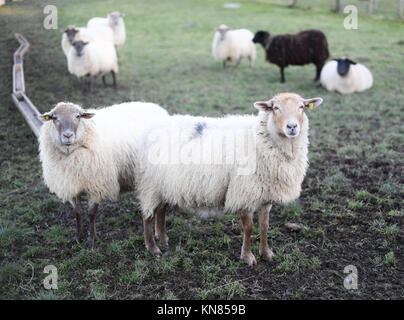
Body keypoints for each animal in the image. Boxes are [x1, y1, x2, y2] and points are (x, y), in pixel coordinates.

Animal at [38, 101, 169, 249]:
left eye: (78, 116)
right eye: (54, 118)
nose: (67, 135)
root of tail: (159, 109)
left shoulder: (97, 186)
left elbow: (91, 214)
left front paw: (91, 240)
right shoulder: (72, 186)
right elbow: (77, 213)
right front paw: (78, 237)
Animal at [137, 91, 324, 264]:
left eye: (302, 107)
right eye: (275, 108)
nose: (292, 127)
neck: (258, 139)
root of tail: (153, 129)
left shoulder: (266, 194)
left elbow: (264, 226)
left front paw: (266, 253)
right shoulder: (243, 193)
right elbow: (249, 228)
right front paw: (247, 257)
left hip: (165, 184)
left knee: (161, 210)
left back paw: (162, 238)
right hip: (150, 184)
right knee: (147, 216)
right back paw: (153, 247)